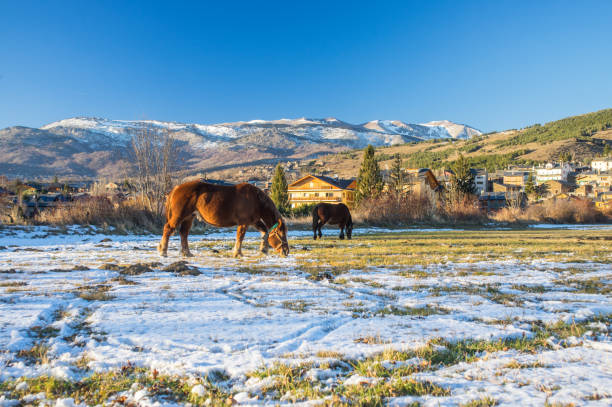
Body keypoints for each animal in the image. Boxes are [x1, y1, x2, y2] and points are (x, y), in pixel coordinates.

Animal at [159, 181, 290, 258]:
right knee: (168, 229)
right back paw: (163, 251)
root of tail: (176, 188)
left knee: (183, 233)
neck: (256, 200)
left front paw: (263, 250)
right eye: (281, 234)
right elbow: (240, 237)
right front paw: (238, 253)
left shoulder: (254, 221)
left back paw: (187, 253)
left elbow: (265, 232)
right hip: (179, 216)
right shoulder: (244, 223)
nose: (286, 251)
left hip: (189, 217)